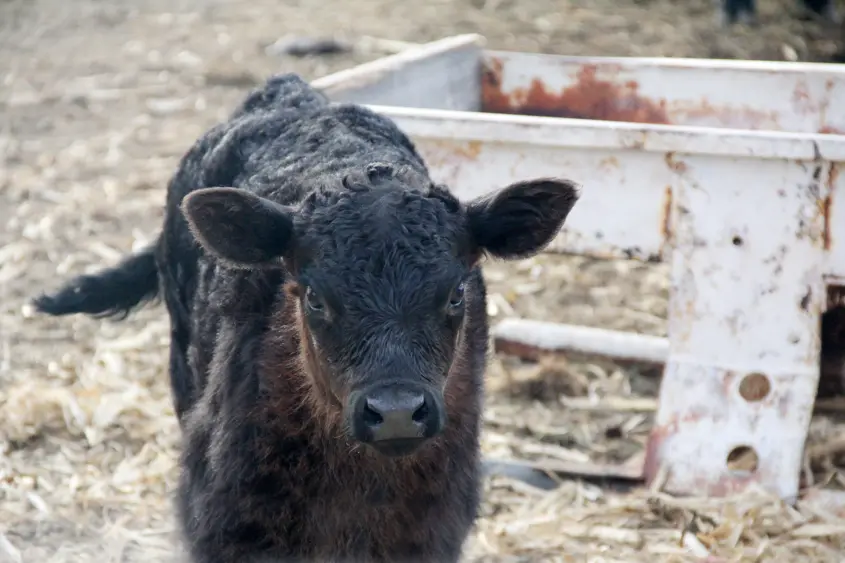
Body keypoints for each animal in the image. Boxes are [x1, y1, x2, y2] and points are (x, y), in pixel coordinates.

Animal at [33, 73, 581, 562]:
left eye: (455, 294)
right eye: (315, 298)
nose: (396, 411)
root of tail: (291, 90)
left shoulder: (433, 522)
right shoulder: (228, 517)